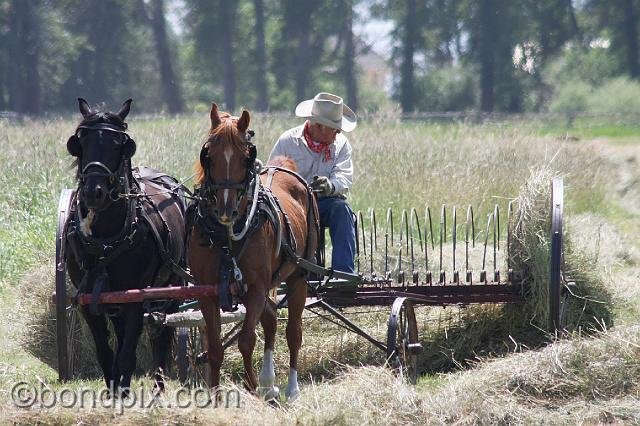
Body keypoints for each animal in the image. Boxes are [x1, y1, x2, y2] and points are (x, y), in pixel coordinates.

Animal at [64, 98, 188, 394]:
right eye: (80, 142)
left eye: (118, 144)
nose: (93, 193)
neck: (105, 241)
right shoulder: (88, 299)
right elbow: (106, 353)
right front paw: (114, 390)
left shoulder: (135, 297)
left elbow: (128, 353)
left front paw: (124, 391)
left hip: (171, 285)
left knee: (162, 331)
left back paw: (159, 385)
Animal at [189, 105, 318, 402]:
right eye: (208, 154)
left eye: (246, 156)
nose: (226, 210)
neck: (226, 236)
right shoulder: (207, 291)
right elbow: (215, 348)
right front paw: (216, 397)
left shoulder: (257, 287)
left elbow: (247, 340)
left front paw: (250, 388)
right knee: (270, 321)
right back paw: (269, 383)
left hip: (299, 277)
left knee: (293, 332)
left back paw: (291, 388)